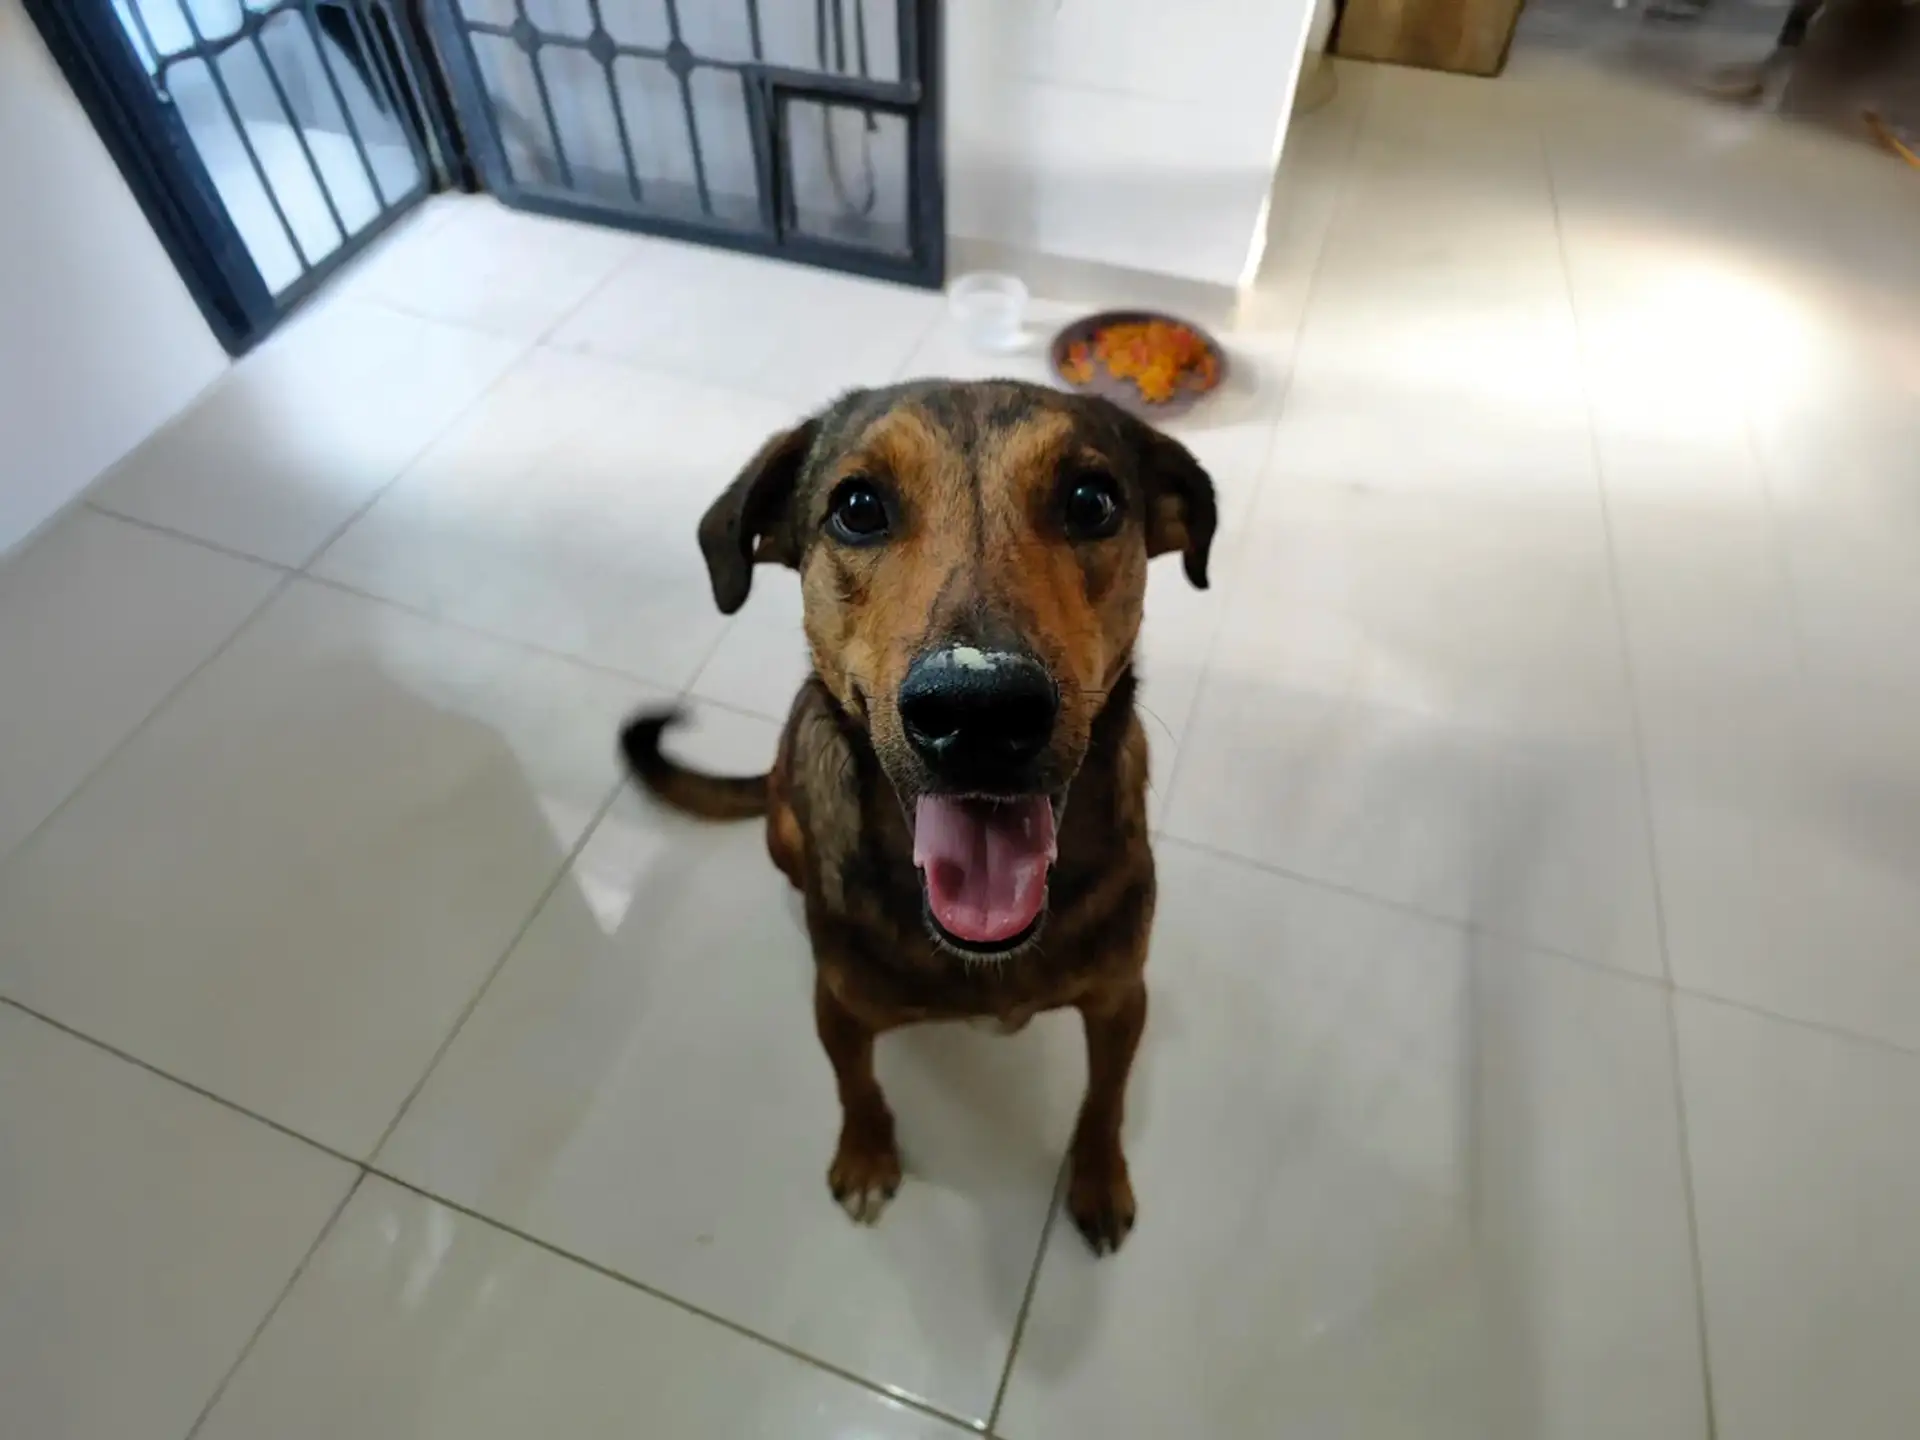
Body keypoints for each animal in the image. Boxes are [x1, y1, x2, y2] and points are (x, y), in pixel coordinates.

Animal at [625, 378, 1213, 1259]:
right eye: (858, 507)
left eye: (1091, 501)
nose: (980, 710)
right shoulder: (838, 1008)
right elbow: (856, 1084)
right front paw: (866, 1156)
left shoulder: (1121, 998)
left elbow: (1103, 1100)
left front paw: (1100, 1179)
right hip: (782, 826)